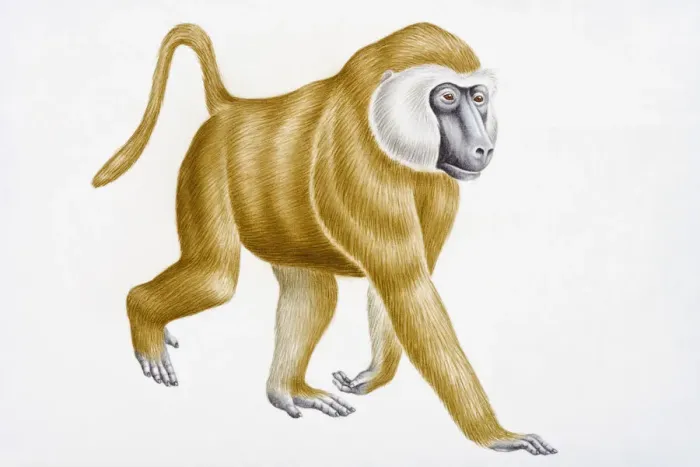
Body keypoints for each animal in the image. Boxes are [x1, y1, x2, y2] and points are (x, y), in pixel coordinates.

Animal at [92, 23, 557, 456]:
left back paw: (287, 390)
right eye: (446, 97)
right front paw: (497, 437)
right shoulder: (358, 166)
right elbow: (406, 287)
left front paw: (371, 377)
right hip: (205, 163)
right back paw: (143, 312)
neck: (378, 119)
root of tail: (232, 109)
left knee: (312, 293)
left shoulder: (441, 184)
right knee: (216, 278)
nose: (483, 148)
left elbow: (395, 288)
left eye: (477, 97)